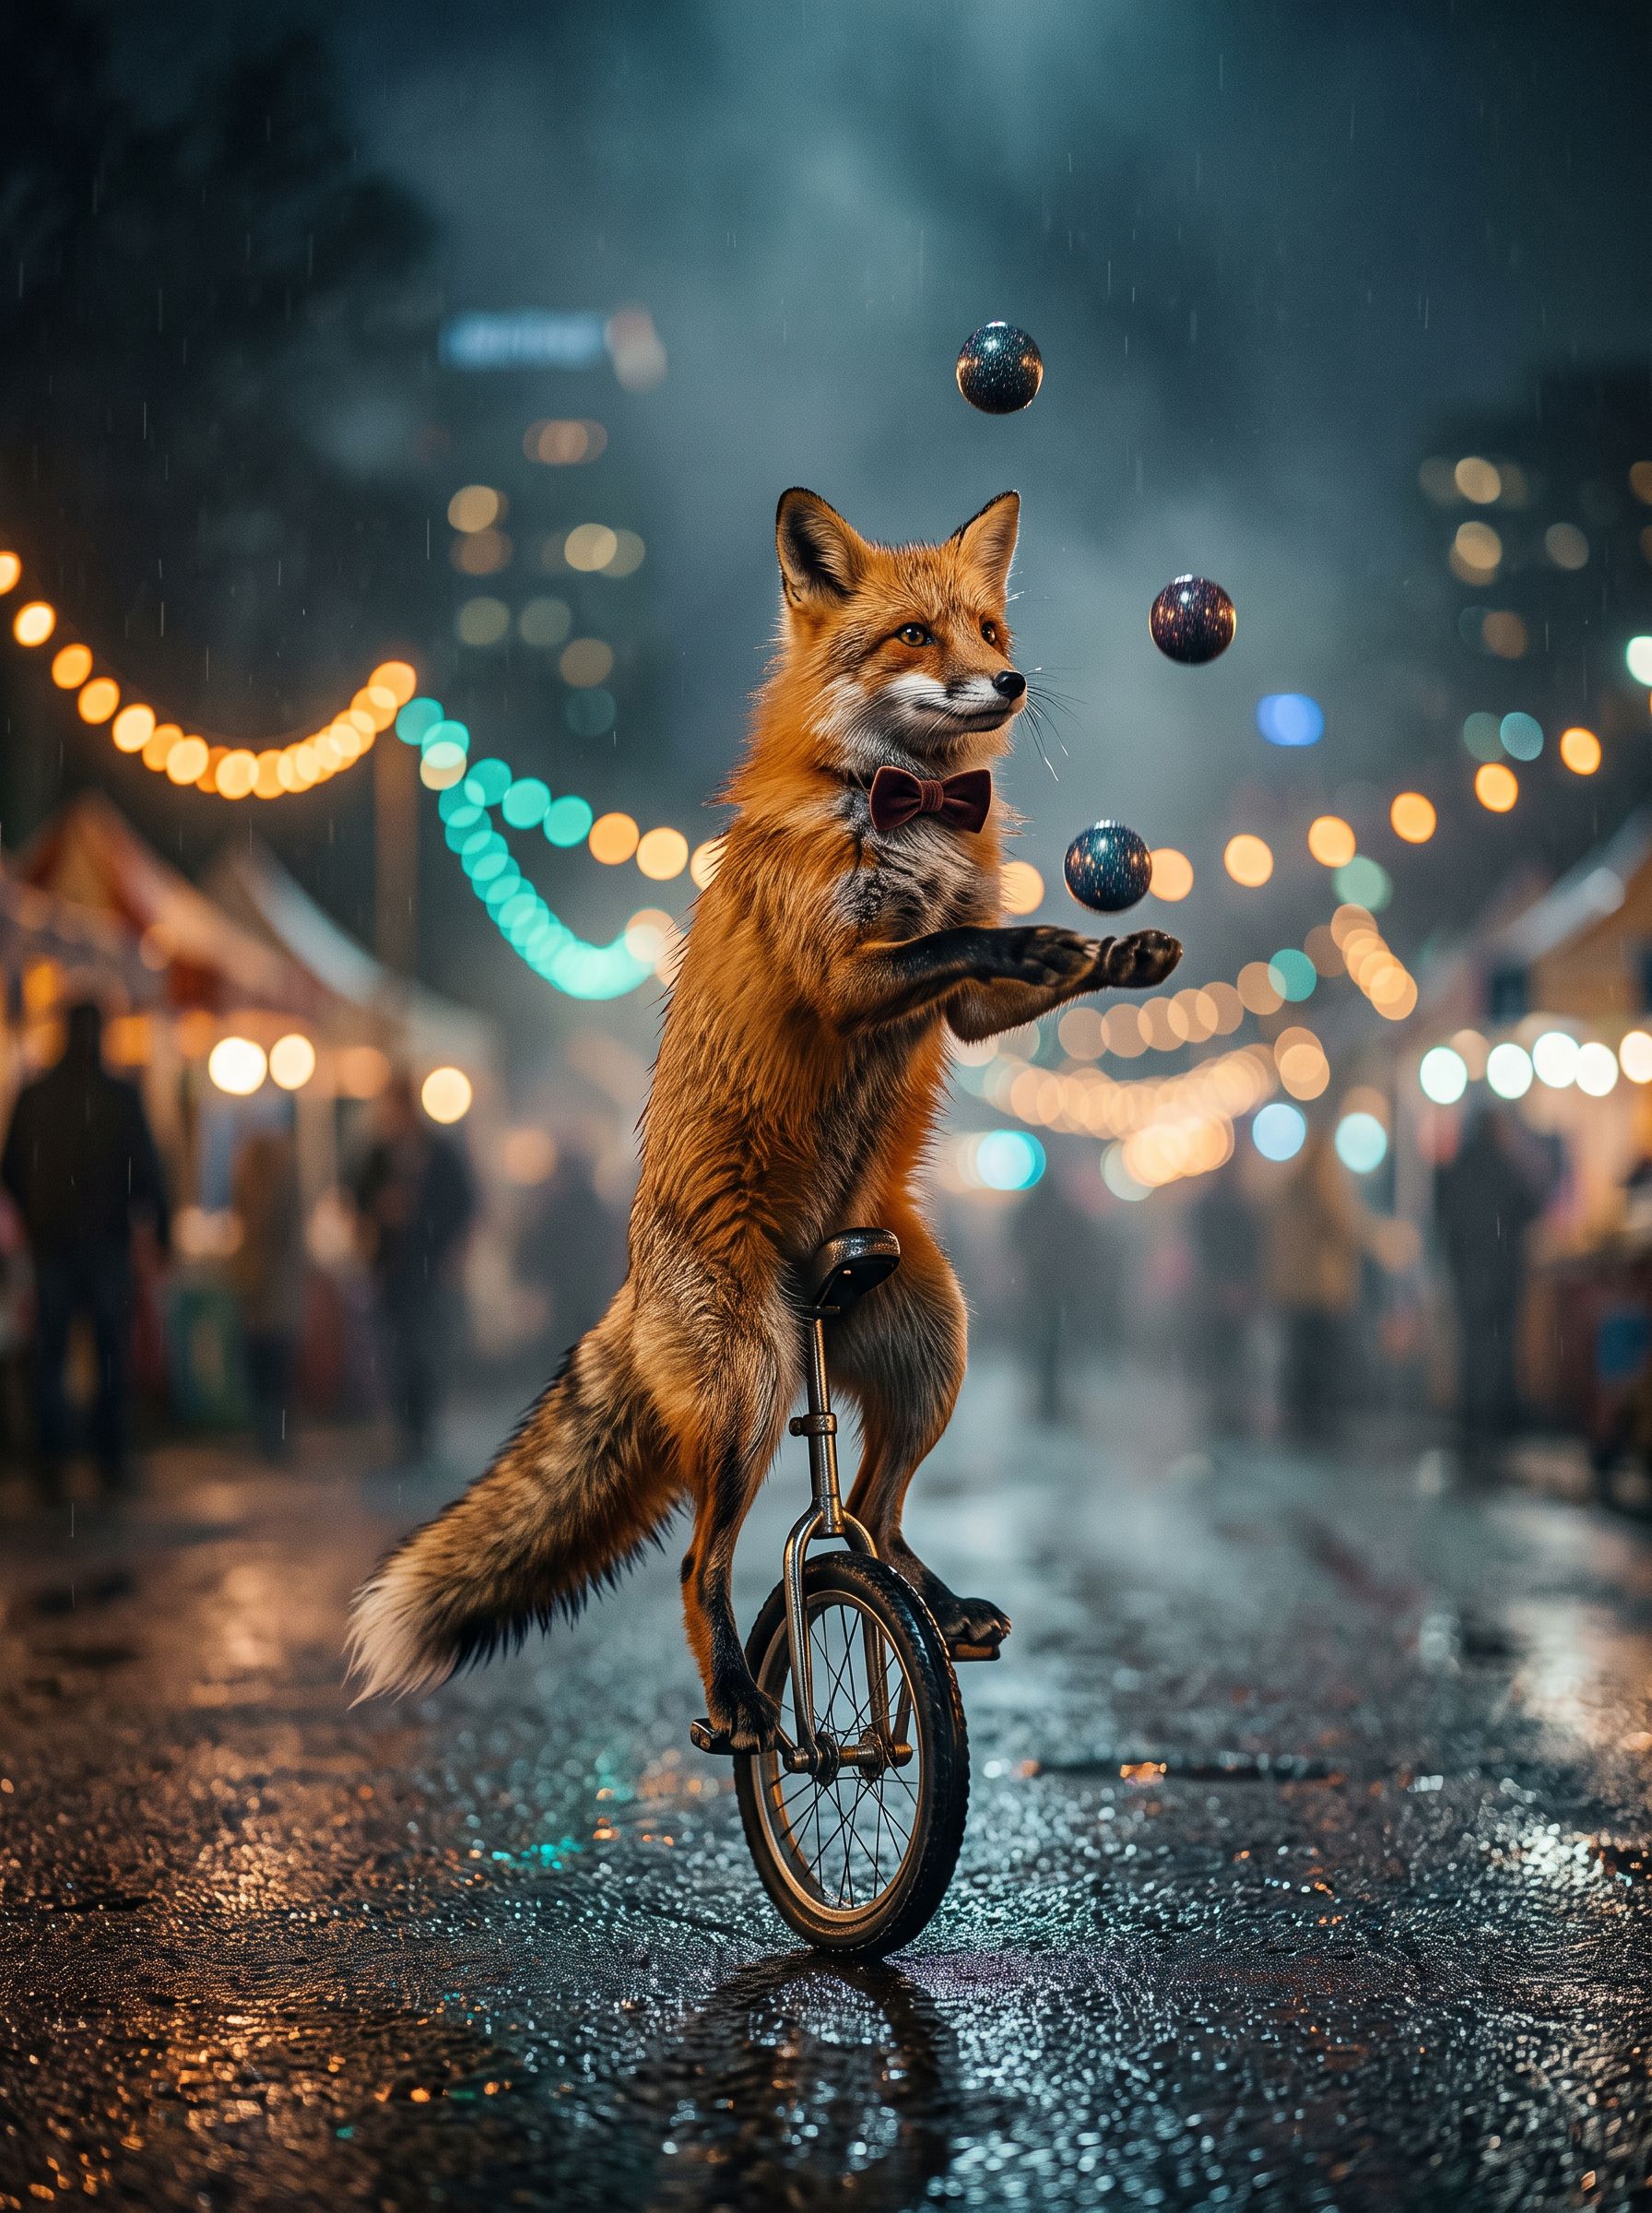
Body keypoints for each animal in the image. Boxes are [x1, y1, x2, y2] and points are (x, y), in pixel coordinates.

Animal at [349, 487, 1182, 1746]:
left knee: (877, 1516)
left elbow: (981, 970)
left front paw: (1115, 955)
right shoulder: (839, 971)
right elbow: (946, 944)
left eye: (987, 628)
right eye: (914, 637)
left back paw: (941, 1612)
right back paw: (739, 1699)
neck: (906, 806)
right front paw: (1035, 936)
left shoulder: (967, 1013)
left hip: (932, 1355)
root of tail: (641, 1282)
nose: (1011, 681)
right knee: (708, 1563)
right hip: (750, 1392)